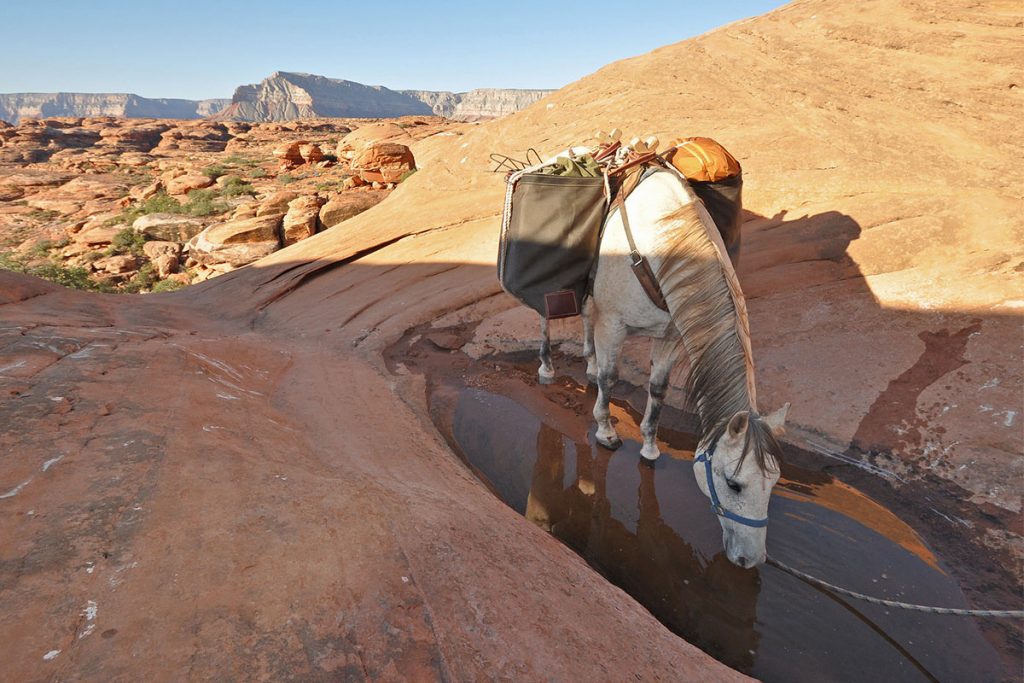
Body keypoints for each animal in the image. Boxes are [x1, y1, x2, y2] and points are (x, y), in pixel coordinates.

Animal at [540, 163, 786, 565]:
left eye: (775, 482)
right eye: (734, 484)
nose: (751, 560)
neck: (664, 241)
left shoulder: (670, 332)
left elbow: (657, 390)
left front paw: (650, 447)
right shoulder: (615, 324)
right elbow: (611, 377)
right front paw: (606, 432)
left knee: (587, 319)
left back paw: (587, 366)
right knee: (546, 315)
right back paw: (546, 367)